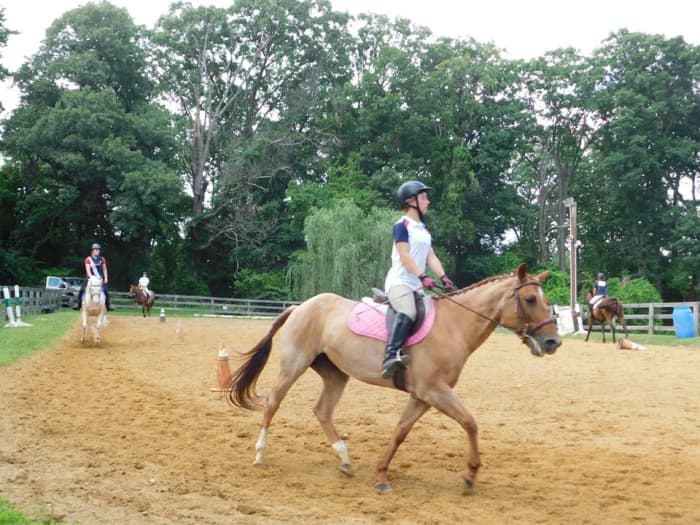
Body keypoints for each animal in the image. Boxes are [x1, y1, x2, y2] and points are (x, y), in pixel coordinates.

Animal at [227, 264, 560, 494]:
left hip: (336, 374)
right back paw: (260, 454)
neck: (454, 325)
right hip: (294, 364)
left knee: (322, 410)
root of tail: (302, 306)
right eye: (530, 299)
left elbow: (401, 431)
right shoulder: (435, 391)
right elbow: (470, 423)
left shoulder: (423, 396)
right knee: (272, 402)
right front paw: (470, 474)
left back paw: (344, 459)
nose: (553, 342)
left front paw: (382, 475)